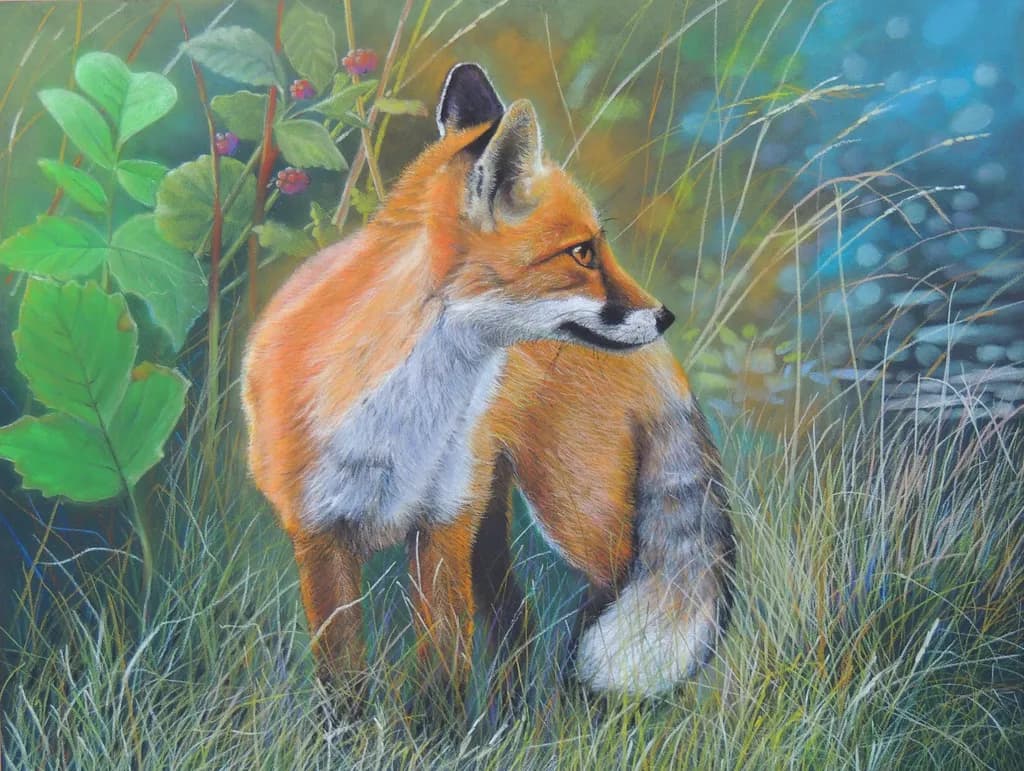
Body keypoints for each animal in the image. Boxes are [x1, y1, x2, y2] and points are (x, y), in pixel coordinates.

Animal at [241, 63, 735, 704]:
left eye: (598, 247)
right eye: (582, 252)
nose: (665, 316)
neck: (398, 419)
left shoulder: (442, 524)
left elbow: (442, 683)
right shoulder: (320, 536)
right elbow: (344, 684)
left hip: (573, 510)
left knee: (595, 603)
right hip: (503, 517)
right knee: (518, 618)